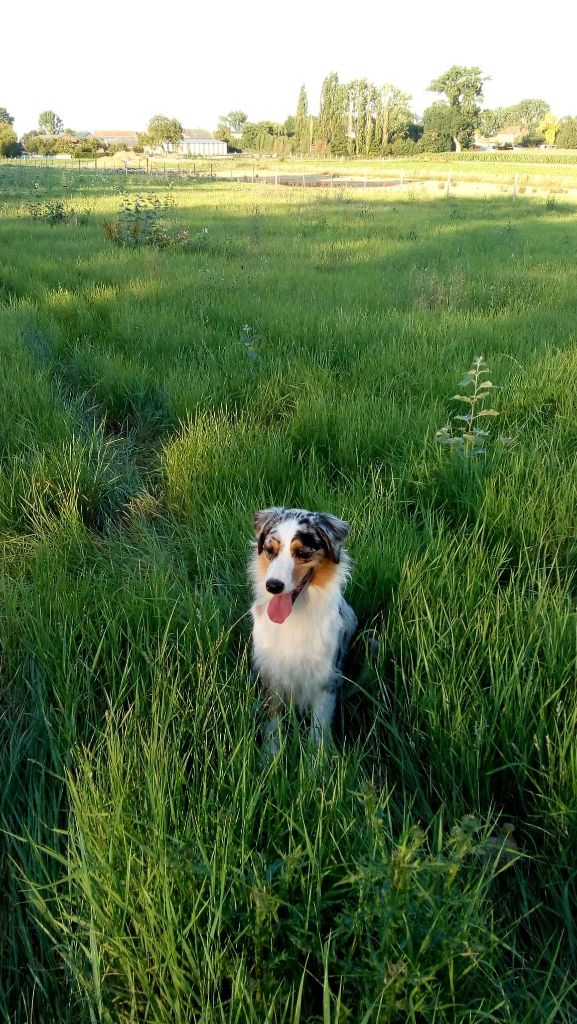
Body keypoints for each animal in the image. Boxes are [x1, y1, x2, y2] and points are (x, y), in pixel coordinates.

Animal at [248, 505, 356, 753]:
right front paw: (271, 755)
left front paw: (316, 761)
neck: (293, 616)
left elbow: (318, 727)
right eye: (270, 550)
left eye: (303, 553)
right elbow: (273, 719)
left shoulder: (326, 678)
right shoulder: (272, 672)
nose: (273, 586)